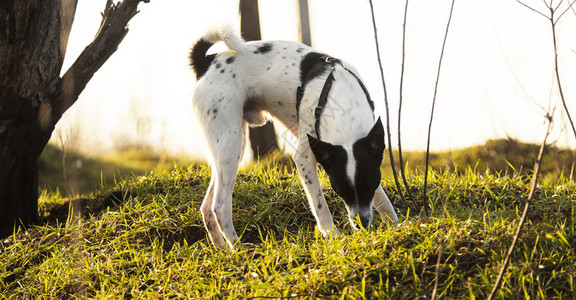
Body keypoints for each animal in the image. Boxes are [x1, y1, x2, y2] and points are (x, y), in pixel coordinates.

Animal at [189, 27, 396, 250]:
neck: (343, 105)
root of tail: (206, 61)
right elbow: (319, 203)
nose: (362, 224)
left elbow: (383, 198)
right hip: (230, 144)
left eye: (370, 185)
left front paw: (396, 225)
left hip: (227, 149)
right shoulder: (304, 159)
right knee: (219, 206)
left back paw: (221, 248)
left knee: (206, 207)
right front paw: (331, 234)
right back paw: (238, 247)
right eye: (340, 190)